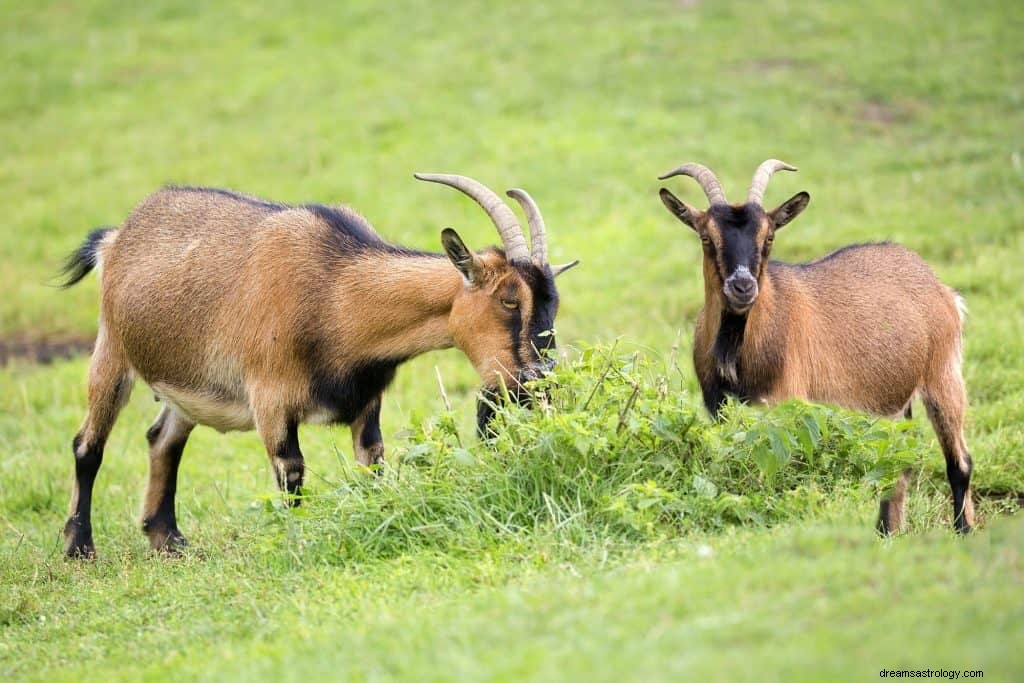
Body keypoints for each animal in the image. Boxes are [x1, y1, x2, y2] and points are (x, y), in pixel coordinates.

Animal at [59, 174, 581, 557]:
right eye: (509, 300)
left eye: (553, 302)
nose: (536, 383)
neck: (335, 293)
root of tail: (115, 239)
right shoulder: (270, 399)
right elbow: (291, 473)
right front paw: (300, 540)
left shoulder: (367, 402)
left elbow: (373, 465)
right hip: (112, 353)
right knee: (88, 446)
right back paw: (79, 547)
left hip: (184, 386)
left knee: (163, 440)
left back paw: (168, 539)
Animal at [659, 158, 970, 532]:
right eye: (706, 237)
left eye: (769, 236)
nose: (742, 286)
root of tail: (941, 288)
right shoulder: (718, 407)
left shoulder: (787, 405)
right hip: (896, 402)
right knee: (899, 466)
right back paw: (887, 532)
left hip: (943, 374)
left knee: (959, 462)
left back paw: (963, 530)